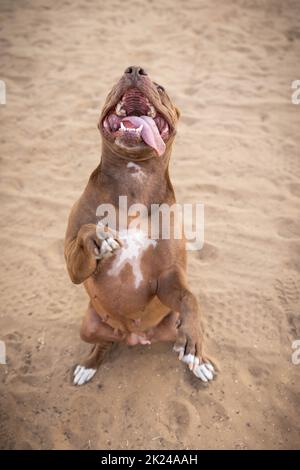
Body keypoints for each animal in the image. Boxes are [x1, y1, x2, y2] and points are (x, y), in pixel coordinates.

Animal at [65, 66, 216, 386]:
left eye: (161, 88)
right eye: (114, 81)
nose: (134, 69)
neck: (133, 181)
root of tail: (135, 337)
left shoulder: (168, 277)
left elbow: (189, 297)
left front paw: (194, 342)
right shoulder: (73, 266)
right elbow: (85, 233)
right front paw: (99, 237)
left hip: (168, 322)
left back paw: (198, 362)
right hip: (89, 326)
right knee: (103, 342)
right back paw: (89, 364)